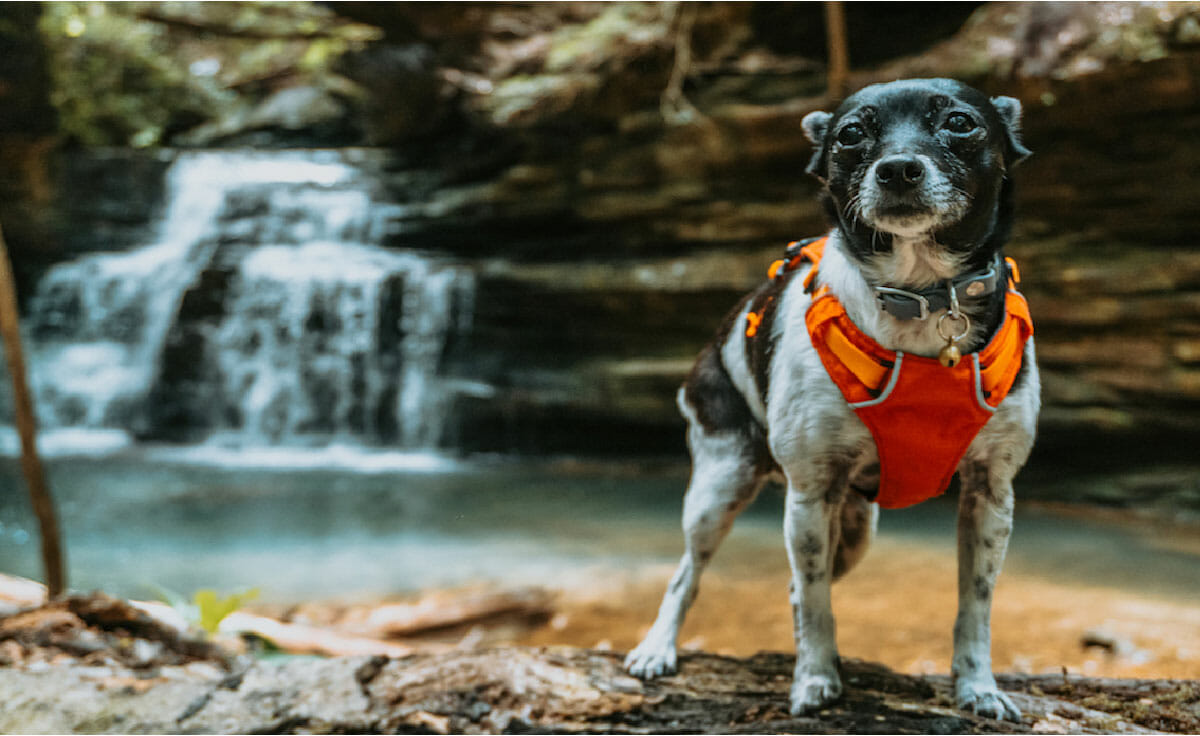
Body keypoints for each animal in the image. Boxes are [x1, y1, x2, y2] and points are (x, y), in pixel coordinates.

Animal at [624, 77, 1036, 720]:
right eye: (851, 134)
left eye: (960, 123)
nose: (898, 169)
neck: (920, 297)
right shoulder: (811, 493)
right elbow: (815, 601)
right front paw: (814, 679)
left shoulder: (990, 494)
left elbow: (976, 604)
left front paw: (978, 687)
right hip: (721, 486)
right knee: (690, 571)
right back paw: (657, 647)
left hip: (855, 529)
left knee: (795, 582)